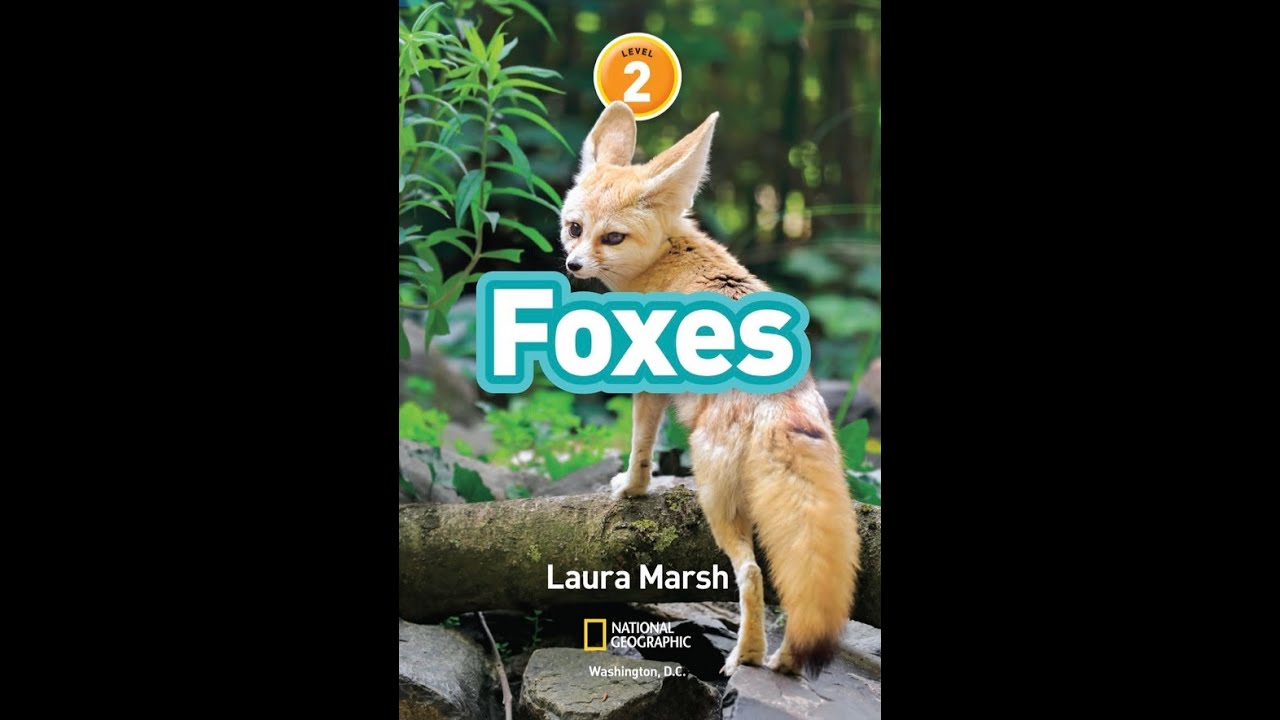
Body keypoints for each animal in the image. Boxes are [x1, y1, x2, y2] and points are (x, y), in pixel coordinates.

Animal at [558, 101, 860, 677]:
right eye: (574, 228)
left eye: (612, 238)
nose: (573, 264)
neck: (669, 256)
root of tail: (781, 405)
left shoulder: (647, 380)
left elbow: (641, 449)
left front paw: (631, 489)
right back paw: (784, 659)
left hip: (717, 503)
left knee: (751, 576)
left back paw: (747, 656)